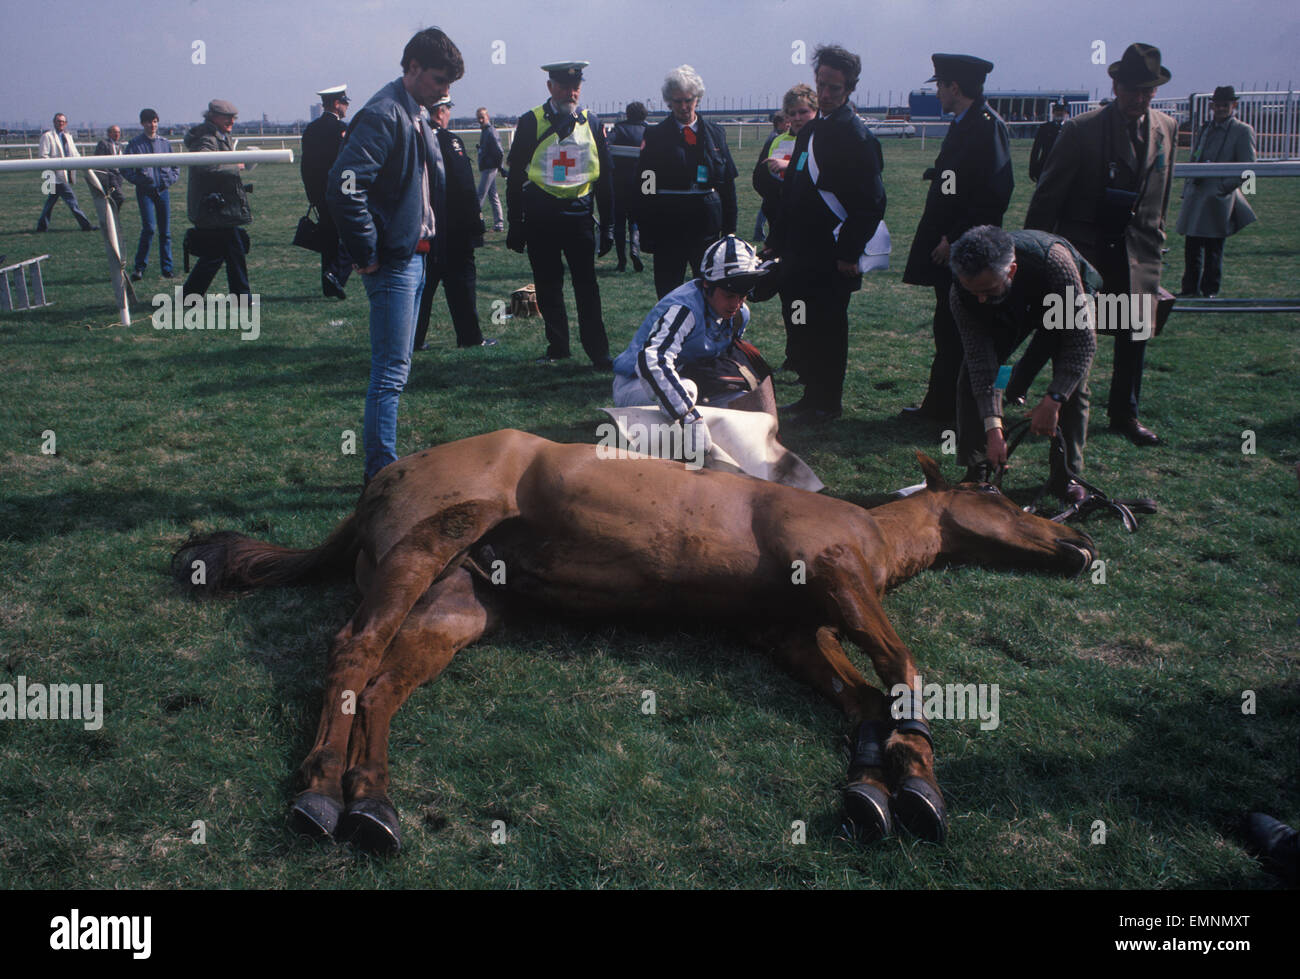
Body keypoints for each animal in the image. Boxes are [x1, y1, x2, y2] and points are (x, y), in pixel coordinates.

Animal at [173, 429, 1096, 855]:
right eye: (998, 496)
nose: (1079, 541)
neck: (866, 528)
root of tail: (383, 477)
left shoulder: (792, 632)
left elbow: (866, 699)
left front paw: (892, 787)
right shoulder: (837, 575)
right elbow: (901, 669)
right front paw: (910, 763)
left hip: (457, 605)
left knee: (386, 684)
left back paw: (372, 802)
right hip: (423, 550)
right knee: (353, 650)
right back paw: (321, 789)